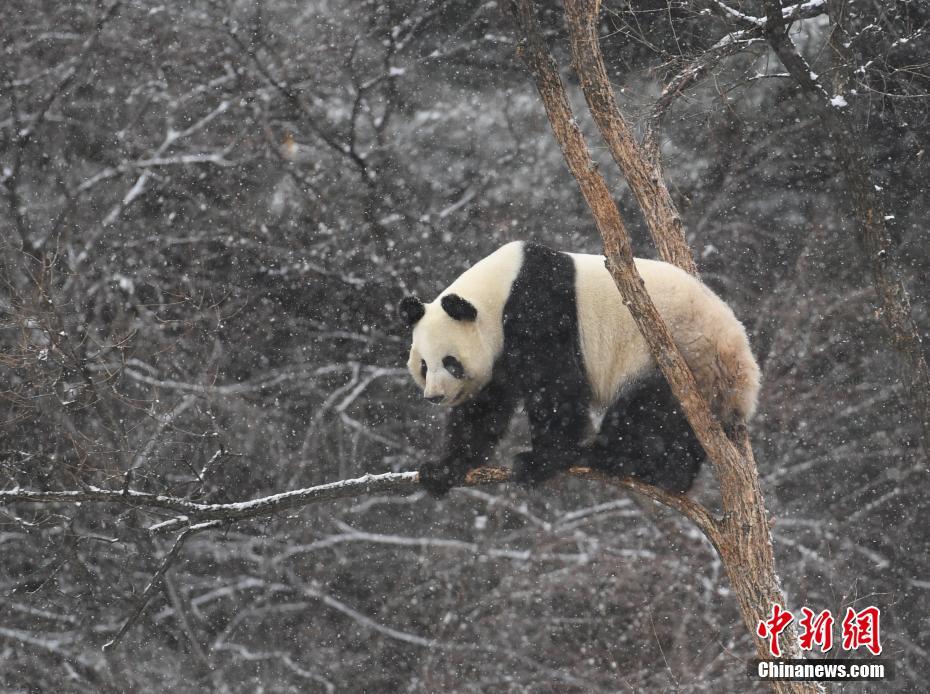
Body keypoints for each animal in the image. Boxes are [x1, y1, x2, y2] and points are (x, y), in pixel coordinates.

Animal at [396, 242, 756, 498]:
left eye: (450, 362)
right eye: (424, 365)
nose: (435, 396)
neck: (497, 294)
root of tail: (744, 379)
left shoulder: (539, 310)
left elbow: (556, 387)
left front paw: (540, 460)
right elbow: (485, 409)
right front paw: (443, 470)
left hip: (679, 363)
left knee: (646, 415)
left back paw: (606, 457)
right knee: (680, 434)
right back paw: (671, 476)